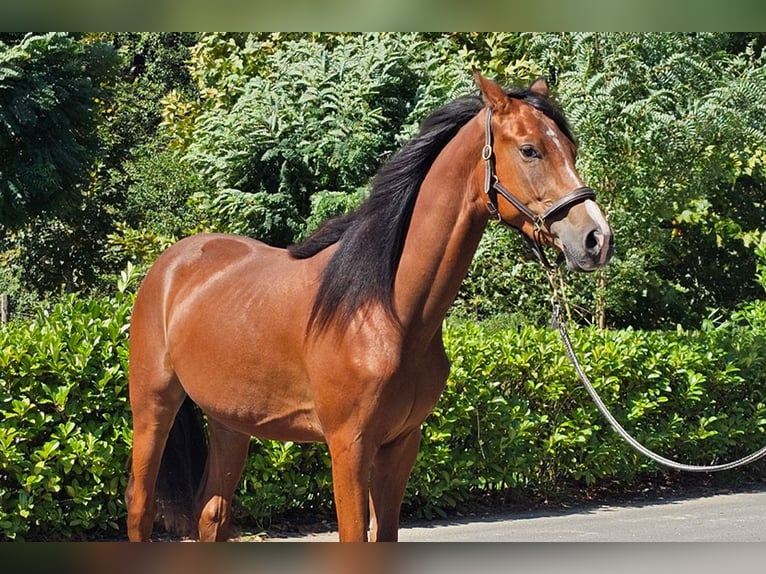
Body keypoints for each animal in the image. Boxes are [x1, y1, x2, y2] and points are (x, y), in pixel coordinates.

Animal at [126, 70, 616, 544]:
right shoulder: (349, 446)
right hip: (153, 407)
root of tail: (171, 266)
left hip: (230, 422)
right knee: (140, 507)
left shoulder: (400, 445)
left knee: (211, 512)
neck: (387, 313)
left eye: (571, 149)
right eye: (531, 150)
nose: (596, 239)